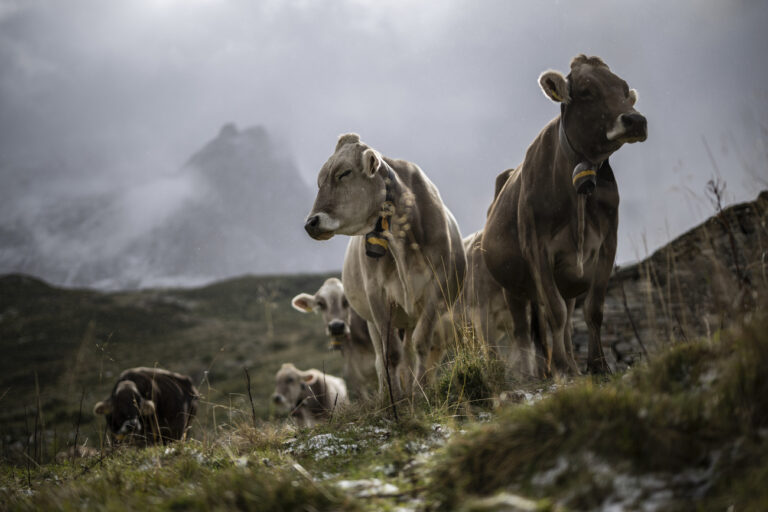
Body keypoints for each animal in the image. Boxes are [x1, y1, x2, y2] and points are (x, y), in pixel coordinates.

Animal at [304, 134, 464, 398]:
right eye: (319, 181)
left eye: (344, 173)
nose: (311, 223)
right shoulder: (377, 294)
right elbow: (390, 354)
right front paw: (395, 398)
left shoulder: (436, 288)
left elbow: (421, 343)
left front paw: (420, 392)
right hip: (372, 319)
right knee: (383, 357)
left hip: (409, 317)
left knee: (409, 351)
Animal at [486, 55, 648, 376]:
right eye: (586, 91)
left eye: (624, 89)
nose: (636, 120)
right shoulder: (537, 248)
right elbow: (556, 313)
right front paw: (561, 368)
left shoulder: (607, 245)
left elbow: (593, 310)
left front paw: (597, 365)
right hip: (512, 286)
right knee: (524, 329)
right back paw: (532, 372)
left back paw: (568, 362)